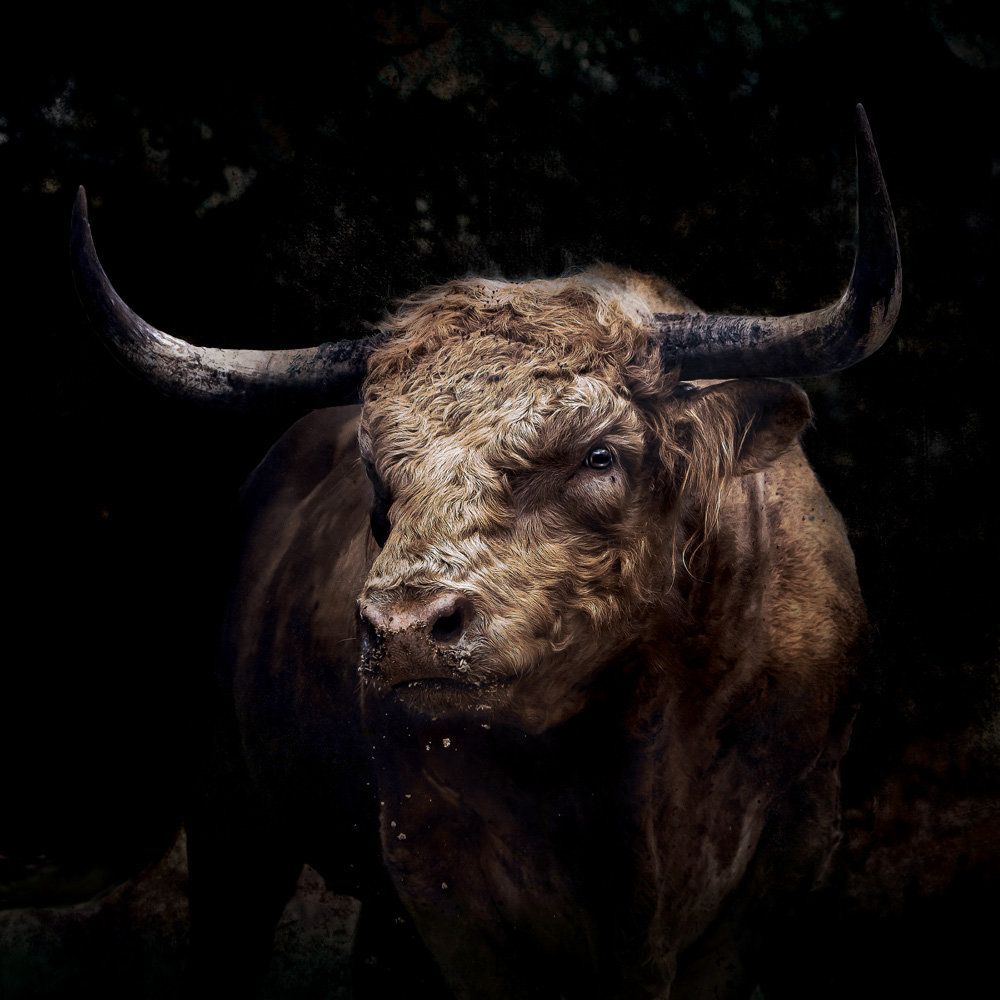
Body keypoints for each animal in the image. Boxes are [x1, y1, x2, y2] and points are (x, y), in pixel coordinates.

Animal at [71, 105, 907, 998]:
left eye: (600, 455)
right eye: (378, 474)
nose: (405, 630)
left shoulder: (790, 847)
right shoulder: (443, 876)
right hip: (233, 815)